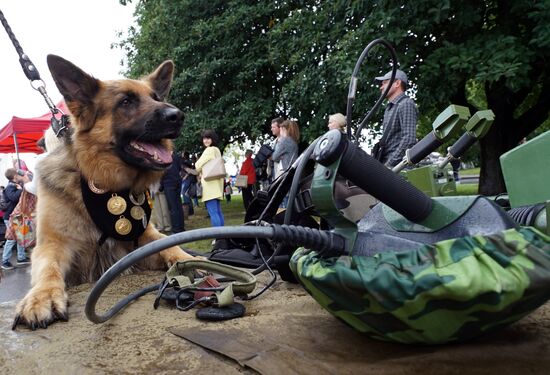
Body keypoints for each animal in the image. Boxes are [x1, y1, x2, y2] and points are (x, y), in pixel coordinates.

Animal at [12, 54, 196, 330]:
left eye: (156, 97)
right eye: (126, 101)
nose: (178, 115)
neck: (104, 184)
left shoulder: (139, 245)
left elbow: (169, 246)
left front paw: (194, 259)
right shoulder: (52, 244)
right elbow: (48, 269)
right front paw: (41, 298)